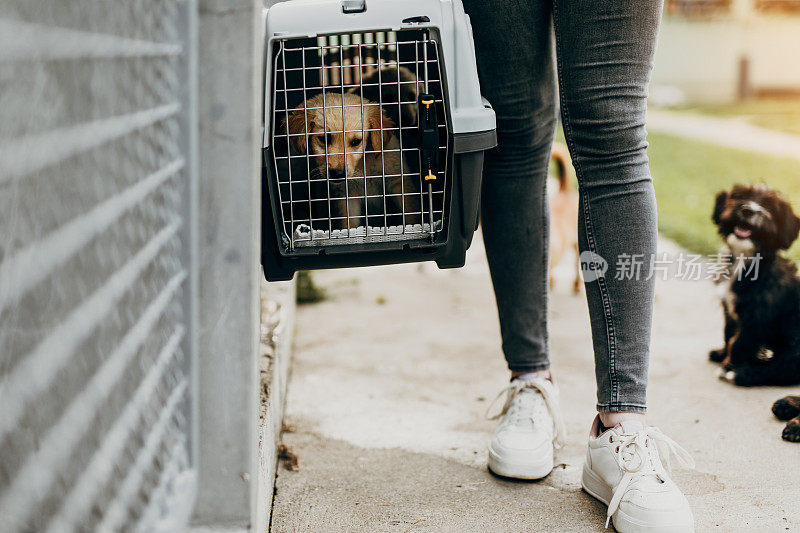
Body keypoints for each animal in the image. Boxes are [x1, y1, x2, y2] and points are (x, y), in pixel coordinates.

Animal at [262, 0, 494, 282]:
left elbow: (411, 216)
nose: (337, 173)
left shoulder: (401, 184)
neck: (365, 169)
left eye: (356, 142)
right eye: (323, 139)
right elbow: (349, 226)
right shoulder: (346, 199)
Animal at [708, 185, 800, 384]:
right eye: (740, 195)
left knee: (785, 368)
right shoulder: (729, 309)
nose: (748, 210)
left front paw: (729, 367)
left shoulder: (755, 318)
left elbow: (739, 342)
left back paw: (745, 374)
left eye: (770, 207)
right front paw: (721, 354)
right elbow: (728, 333)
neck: (744, 260)